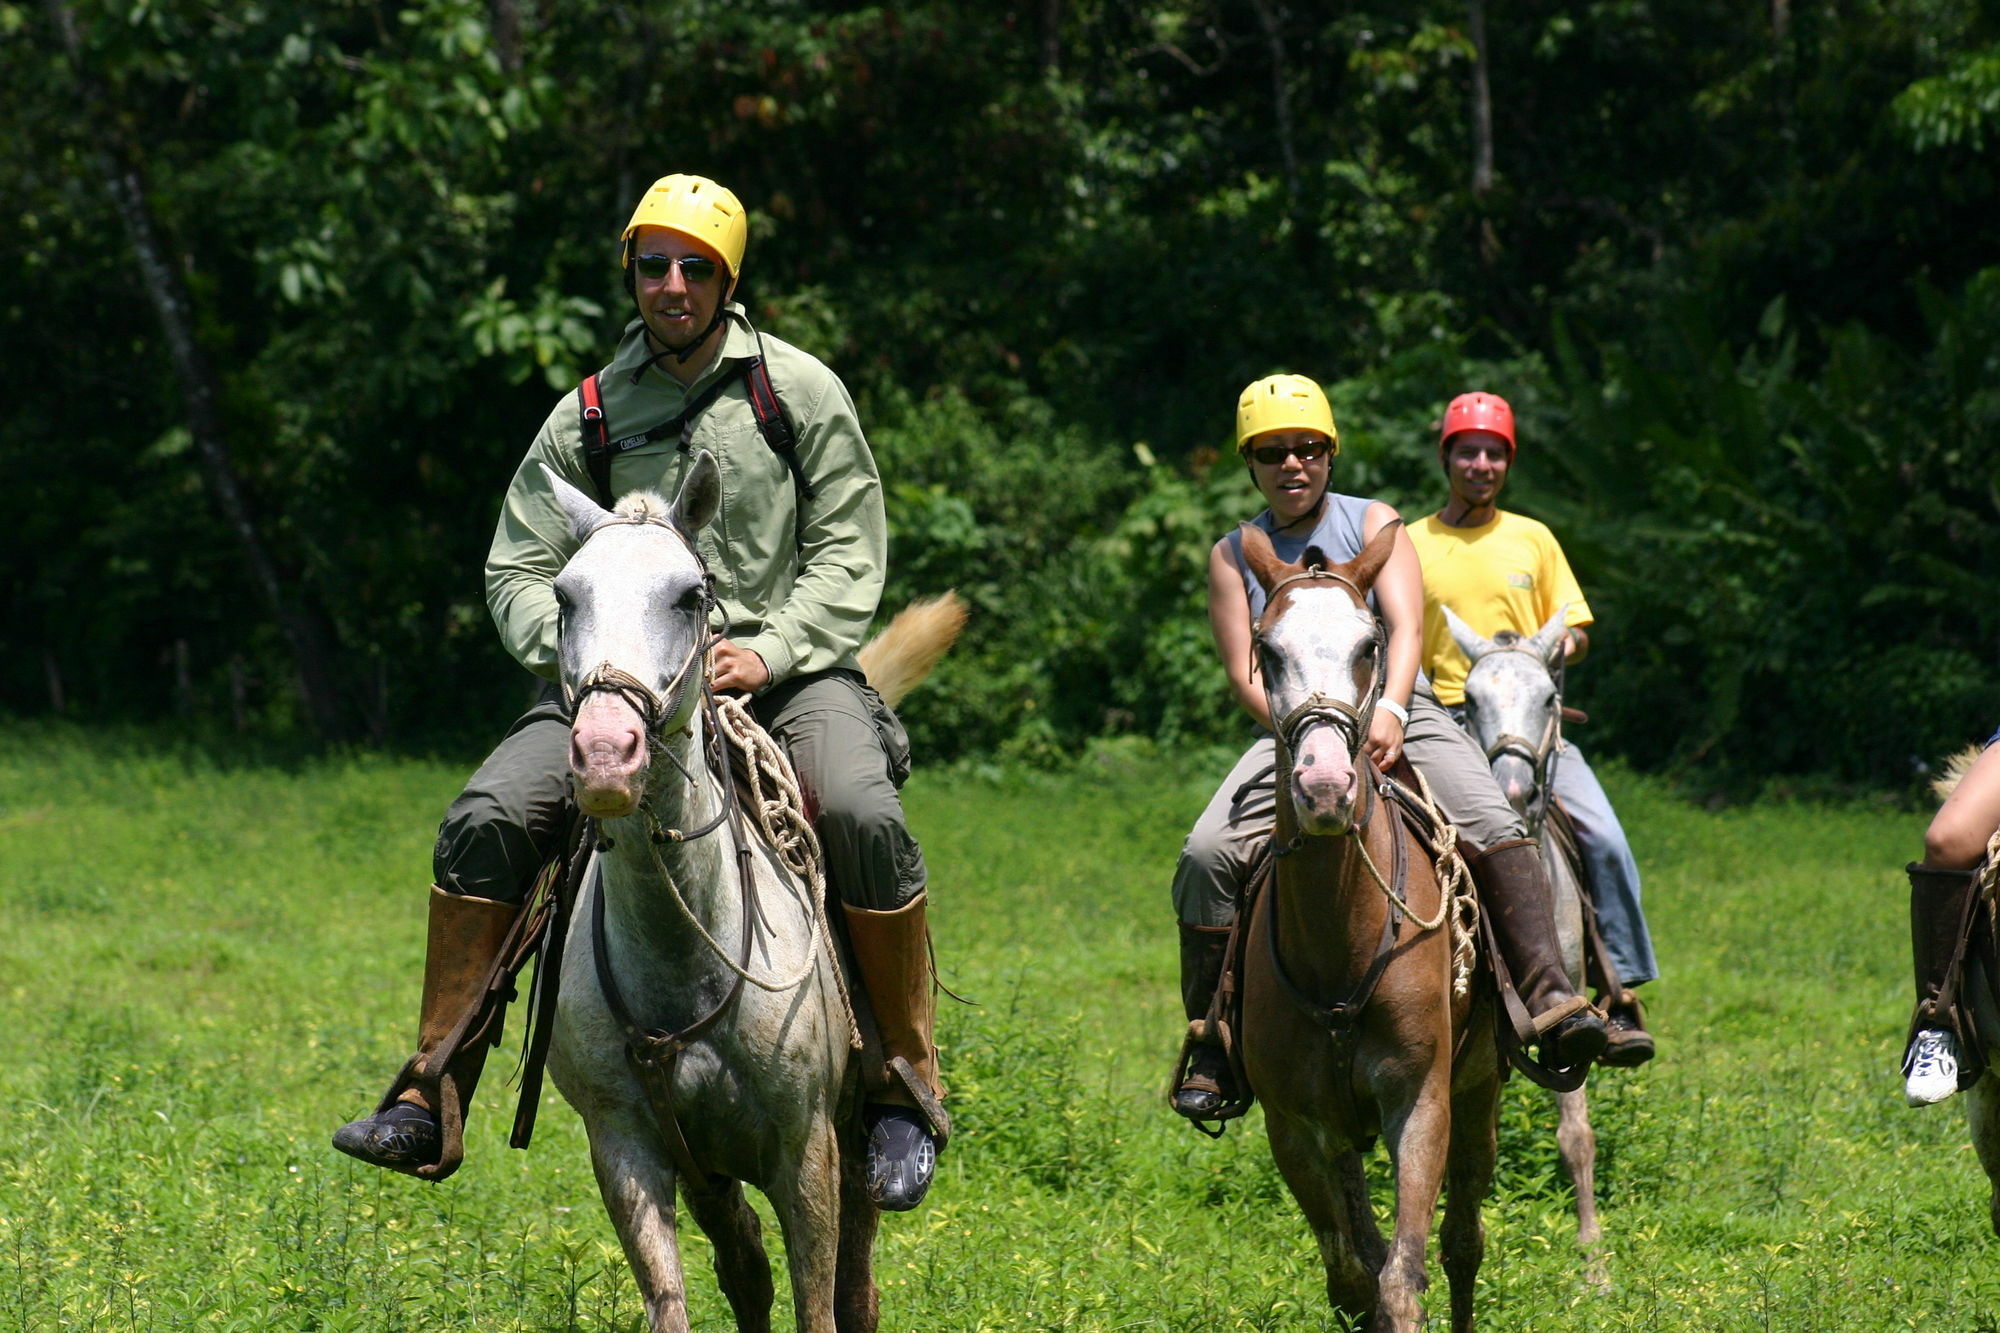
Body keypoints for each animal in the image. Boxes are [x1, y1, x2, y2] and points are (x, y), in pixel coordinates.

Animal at [540, 454, 936, 1328]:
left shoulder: (807, 1152)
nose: (607, 752)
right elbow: (679, 1297)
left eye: (690, 594)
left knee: (856, 1284)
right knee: (746, 1266)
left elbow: (821, 1302)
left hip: (853, 1142)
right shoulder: (628, 1150)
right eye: (565, 595)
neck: (684, 956)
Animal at [1232, 520, 1504, 1328]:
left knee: (1463, 1242)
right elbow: (1355, 1274)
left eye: (1368, 644)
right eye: (1267, 648)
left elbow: (1403, 1275)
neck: (1340, 938)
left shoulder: (1420, 1103)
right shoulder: (1294, 1126)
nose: (1324, 784)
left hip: (1481, 1089)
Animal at [1440, 608, 1608, 1264]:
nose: (1513, 789)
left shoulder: (1568, 1001)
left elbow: (1576, 1132)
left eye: (1549, 697)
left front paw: (1592, 1255)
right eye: (1469, 700)